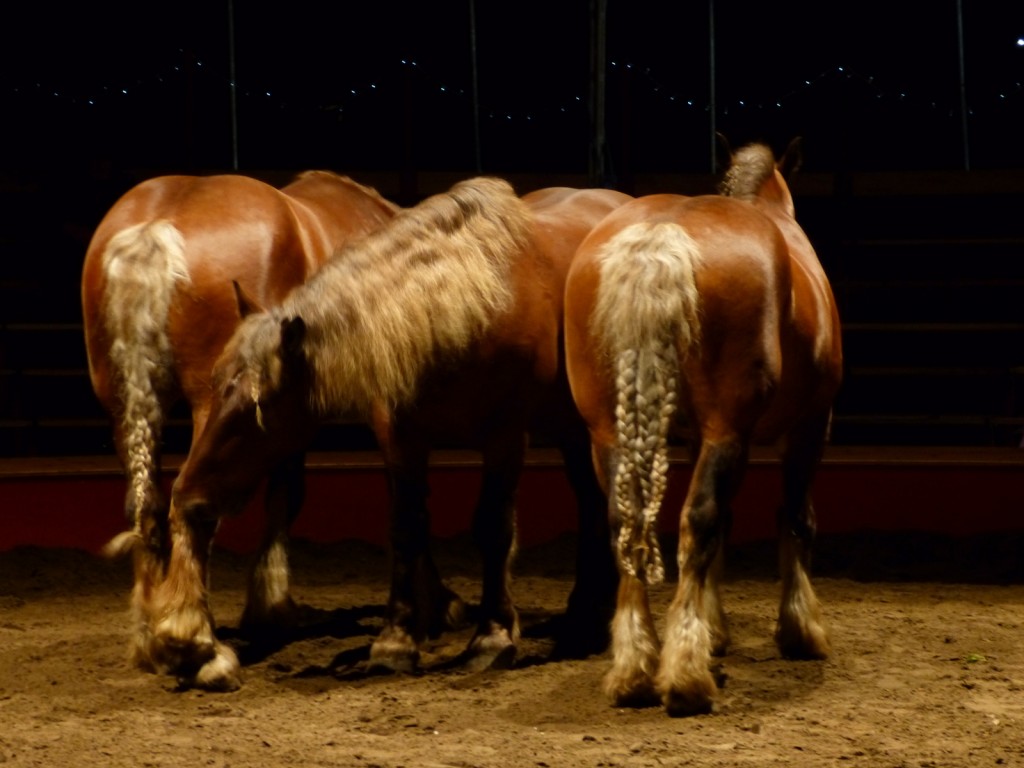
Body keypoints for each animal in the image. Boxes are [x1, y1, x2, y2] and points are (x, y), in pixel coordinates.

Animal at [81, 170, 399, 681]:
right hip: (209, 407)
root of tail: (156, 225)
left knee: (149, 505)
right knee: (191, 503)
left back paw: (154, 640)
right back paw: (196, 644)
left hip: (124, 408)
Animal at [129, 176, 632, 690]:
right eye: (214, 383)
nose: (189, 496)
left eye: (259, 406)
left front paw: (491, 638)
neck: (466, 308)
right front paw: (395, 642)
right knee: (589, 502)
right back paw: (583, 615)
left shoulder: (506, 436)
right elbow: (405, 528)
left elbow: (493, 527)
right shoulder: (401, 436)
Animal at [563, 139, 843, 716]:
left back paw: (635, 667)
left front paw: (715, 629)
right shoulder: (809, 425)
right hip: (728, 429)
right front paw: (799, 629)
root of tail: (662, 233)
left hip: (608, 432)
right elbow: (795, 517)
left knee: (624, 524)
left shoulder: (695, 438)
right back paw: (686, 675)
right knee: (700, 520)